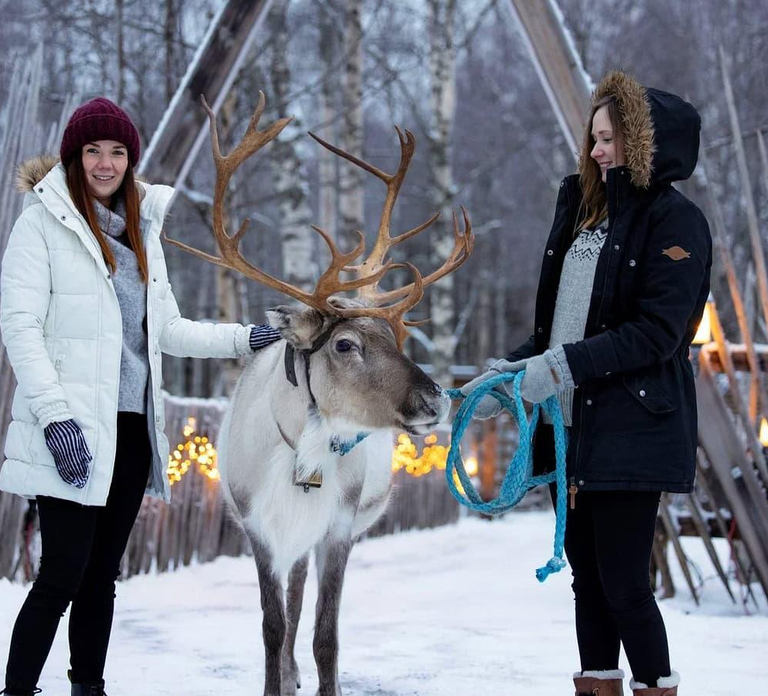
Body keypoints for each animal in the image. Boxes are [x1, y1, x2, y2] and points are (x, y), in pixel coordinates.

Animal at [165, 93, 474, 696]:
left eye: (397, 339)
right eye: (345, 344)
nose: (437, 400)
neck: (301, 456)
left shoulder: (338, 529)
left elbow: (325, 634)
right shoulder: (258, 527)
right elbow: (270, 625)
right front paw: (274, 680)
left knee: (301, 593)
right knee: (289, 602)